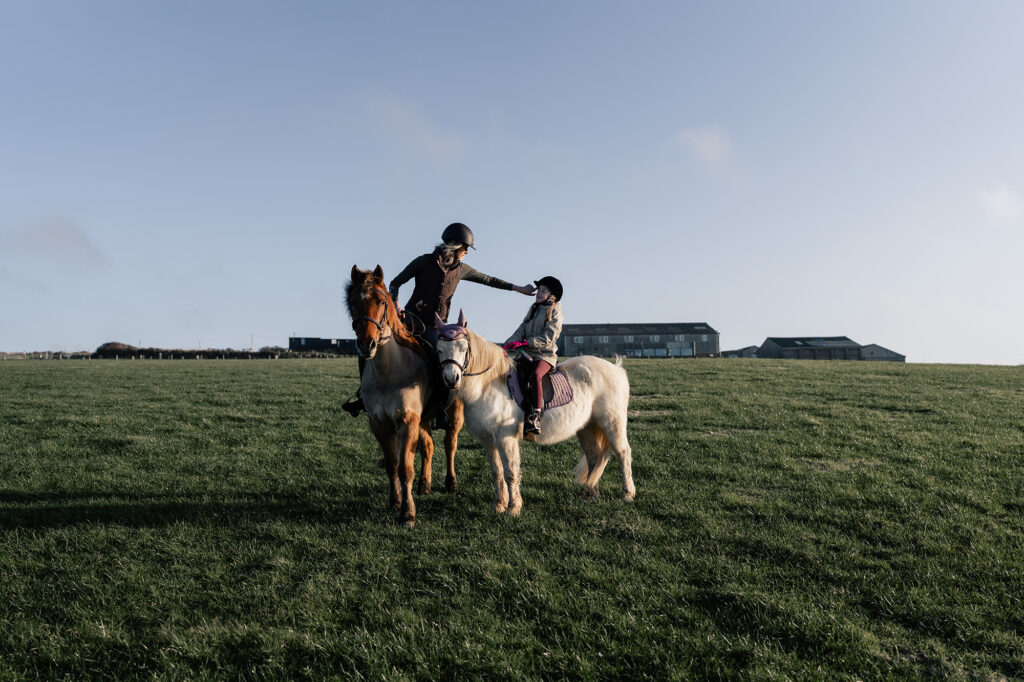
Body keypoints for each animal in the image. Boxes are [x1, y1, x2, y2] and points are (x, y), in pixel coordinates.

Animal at [345, 265, 464, 527]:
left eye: (381, 301)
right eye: (352, 302)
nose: (366, 345)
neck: (389, 371)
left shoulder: (407, 421)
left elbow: (405, 469)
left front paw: (408, 514)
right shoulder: (379, 424)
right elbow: (392, 465)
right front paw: (395, 502)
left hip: (454, 413)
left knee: (449, 445)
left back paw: (450, 483)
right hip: (425, 419)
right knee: (428, 447)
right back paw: (424, 485)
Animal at [435, 311, 635, 516]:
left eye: (463, 348)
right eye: (439, 349)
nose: (451, 379)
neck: (486, 386)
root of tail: (617, 369)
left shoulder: (505, 438)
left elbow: (510, 472)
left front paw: (513, 508)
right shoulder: (488, 441)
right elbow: (497, 473)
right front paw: (499, 505)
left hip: (612, 423)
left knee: (623, 453)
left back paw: (627, 494)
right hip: (587, 427)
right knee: (595, 457)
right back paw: (589, 494)